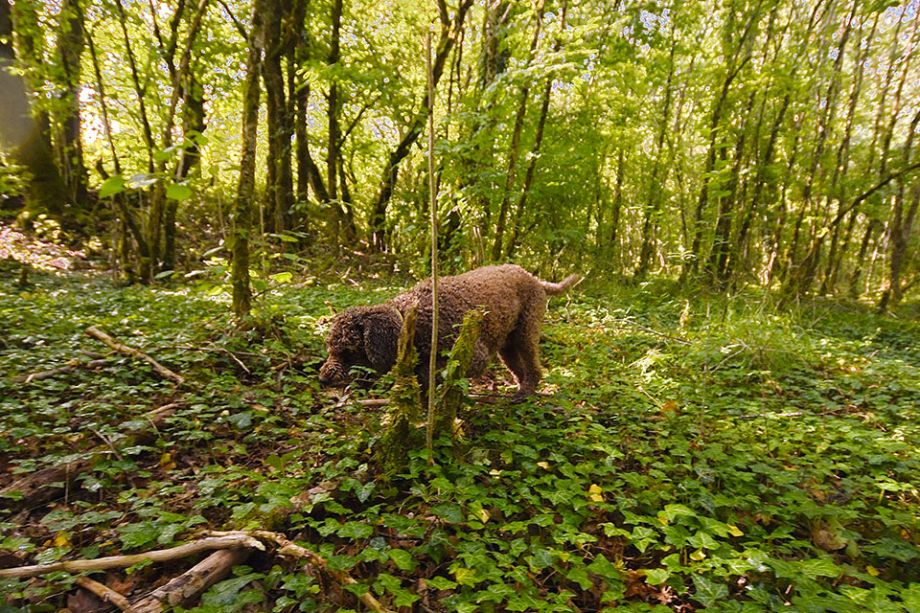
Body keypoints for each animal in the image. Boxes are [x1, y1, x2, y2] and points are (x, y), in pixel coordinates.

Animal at [320, 262, 580, 396]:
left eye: (349, 351)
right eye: (330, 348)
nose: (322, 379)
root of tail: (534, 278)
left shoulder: (473, 357)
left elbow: (431, 373)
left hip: (526, 332)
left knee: (533, 365)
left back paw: (527, 390)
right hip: (506, 345)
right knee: (517, 367)